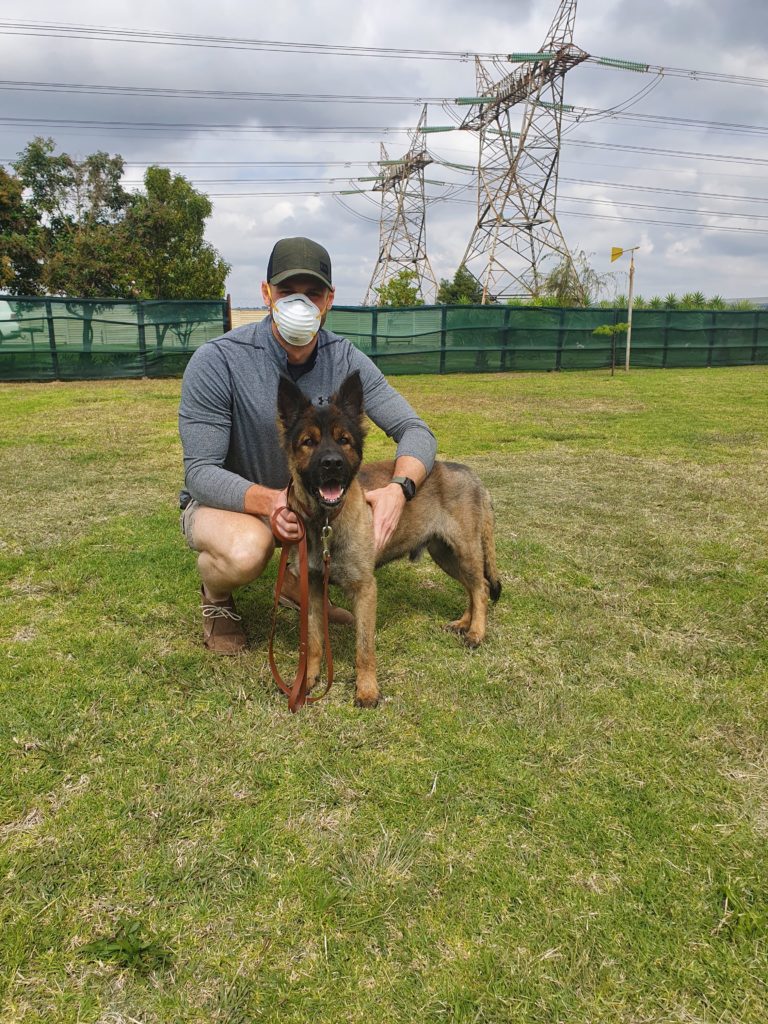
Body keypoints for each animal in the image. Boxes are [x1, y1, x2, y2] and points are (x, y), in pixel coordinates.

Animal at [278, 372, 505, 708]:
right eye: (309, 442)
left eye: (344, 440)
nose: (331, 464)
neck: (325, 523)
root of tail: (472, 475)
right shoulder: (314, 588)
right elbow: (315, 641)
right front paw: (306, 680)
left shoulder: (365, 590)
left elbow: (364, 649)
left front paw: (367, 691)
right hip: (446, 555)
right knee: (474, 588)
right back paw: (465, 623)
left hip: (464, 551)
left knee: (481, 588)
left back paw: (476, 633)